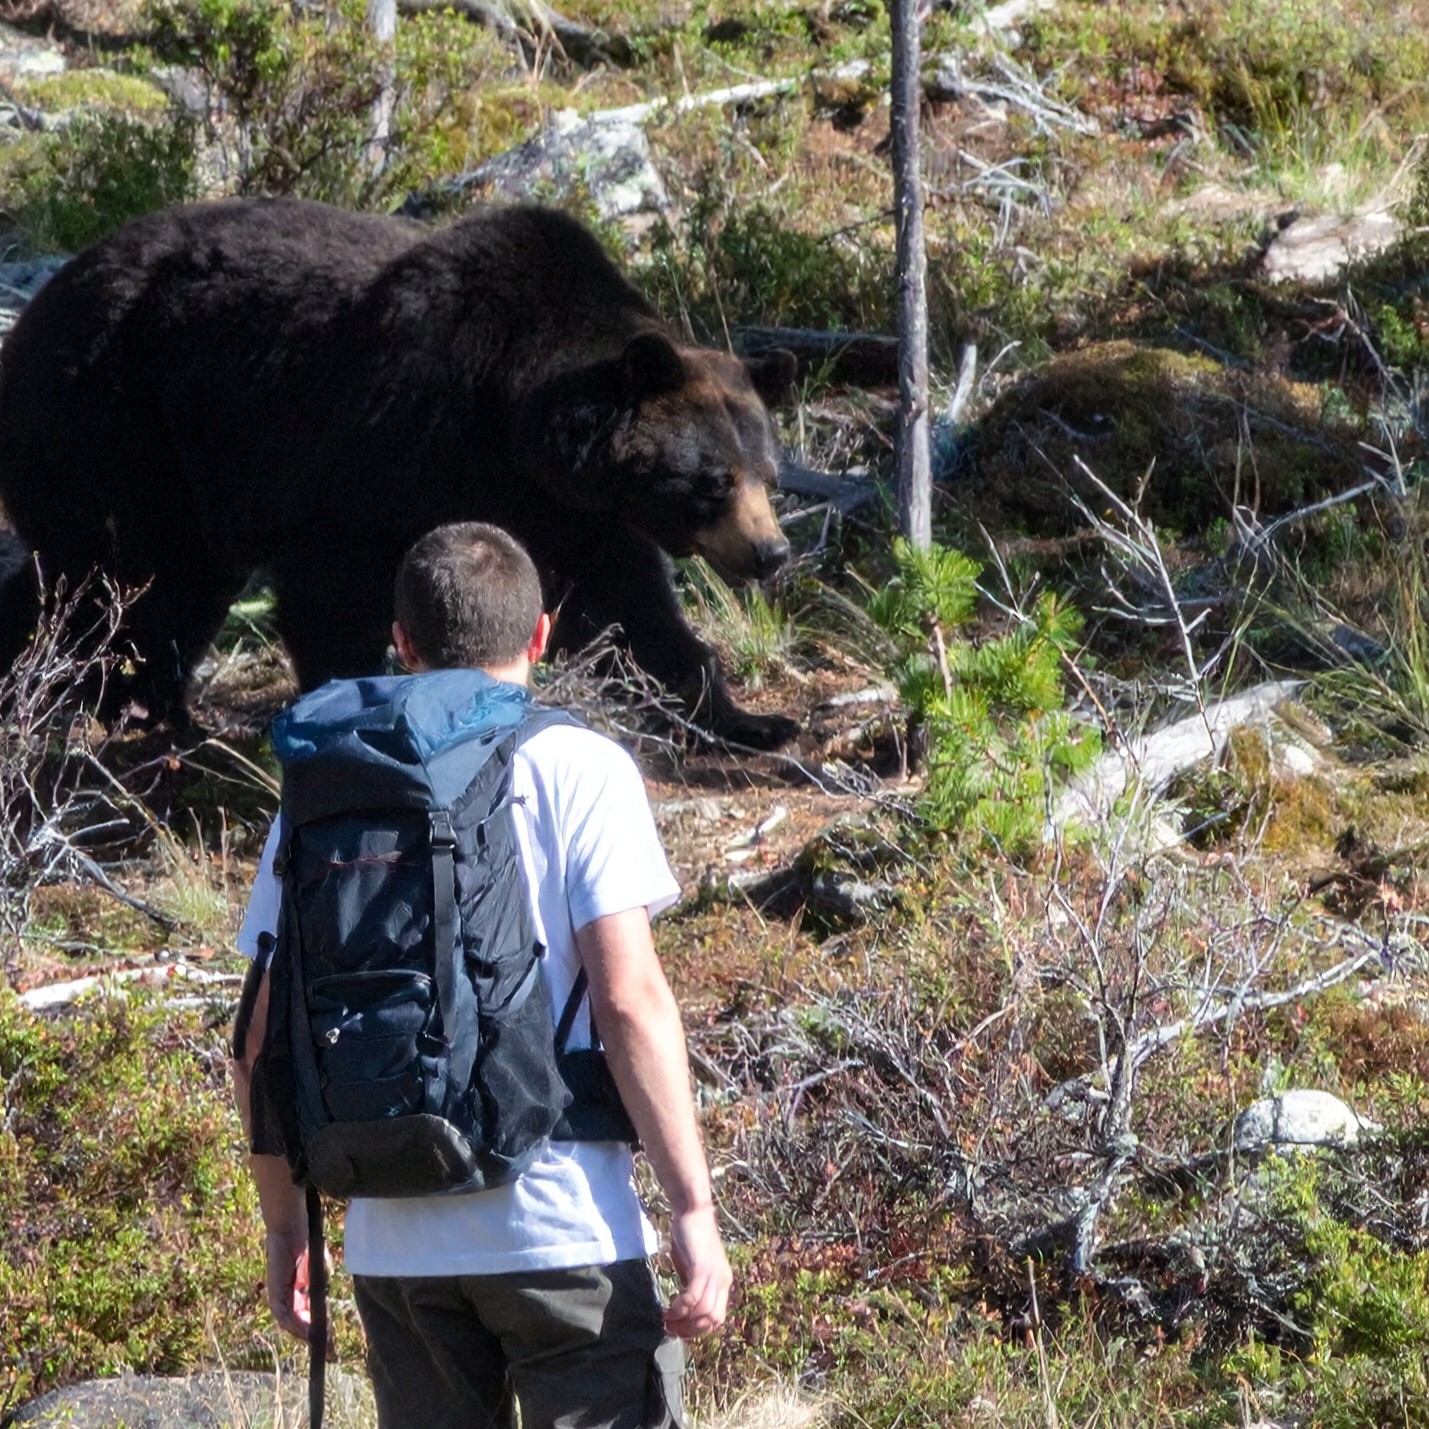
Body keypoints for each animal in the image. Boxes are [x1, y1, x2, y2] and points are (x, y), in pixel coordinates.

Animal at [0, 198, 800, 748]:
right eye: (711, 481)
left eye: (766, 472)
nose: (771, 553)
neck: (515, 414)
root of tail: (40, 302)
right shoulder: (392, 439)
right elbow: (332, 589)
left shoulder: (563, 511)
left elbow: (632, 609)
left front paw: (751, 717)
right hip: (111, 418)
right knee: (109, 577)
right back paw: (116, 702)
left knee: (155, 583)